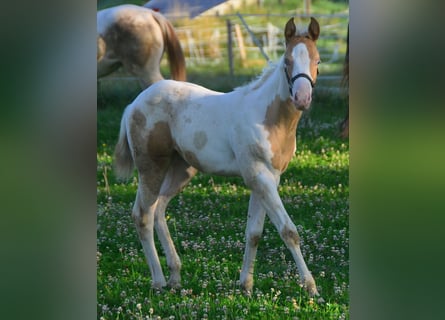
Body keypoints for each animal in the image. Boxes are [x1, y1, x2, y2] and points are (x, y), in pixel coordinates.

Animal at [113, 17, 322, 298]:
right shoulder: (258, 175)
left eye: (317, 61)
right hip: (151, 167)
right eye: (287, 61)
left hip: (181, 170)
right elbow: (289, 231)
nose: (302, 98)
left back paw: (175, 277)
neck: (268, 116)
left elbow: (254, 232)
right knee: (142, 215)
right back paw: (158, 281)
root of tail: (132, 105)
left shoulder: (268, 178)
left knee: (158, 210)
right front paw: (310, 287)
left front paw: (246, 285)